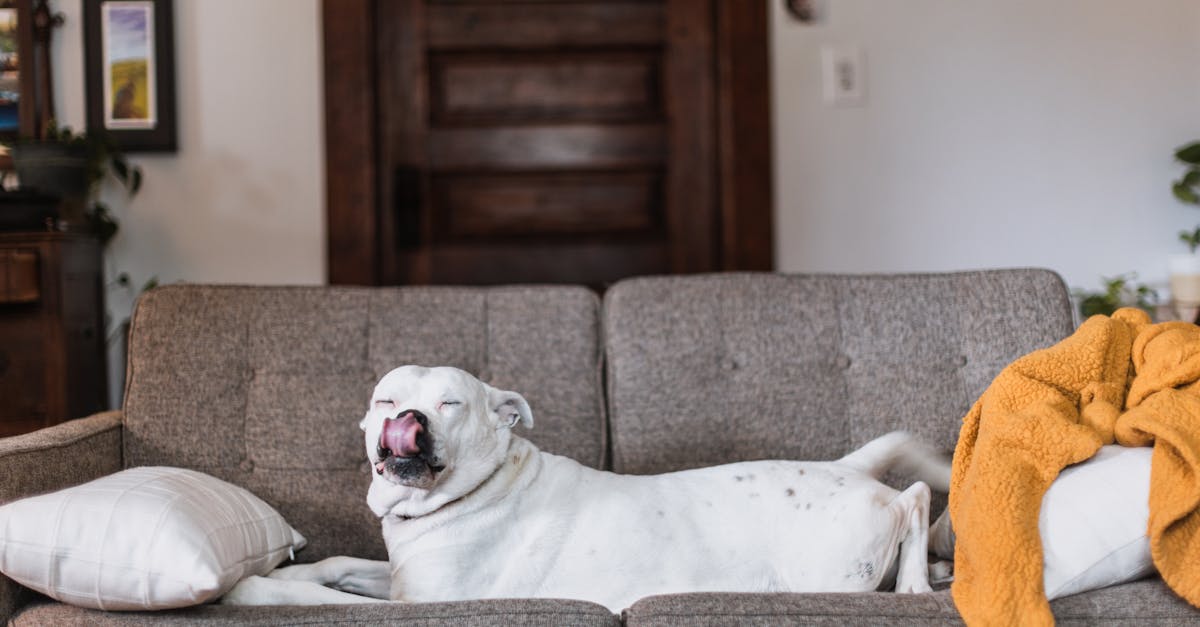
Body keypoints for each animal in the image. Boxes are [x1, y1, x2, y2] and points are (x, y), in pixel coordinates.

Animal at [225, 362, 950, 607]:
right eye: (387, 398)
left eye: (451, 403)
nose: (409, 421)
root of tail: (847, 465)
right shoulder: (401, 575)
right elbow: (339, 565)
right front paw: (292, 568)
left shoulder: (418, 603)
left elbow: (312, 599)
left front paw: (253, 588)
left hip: (828, 565)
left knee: (915, 501)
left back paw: (918, 579)